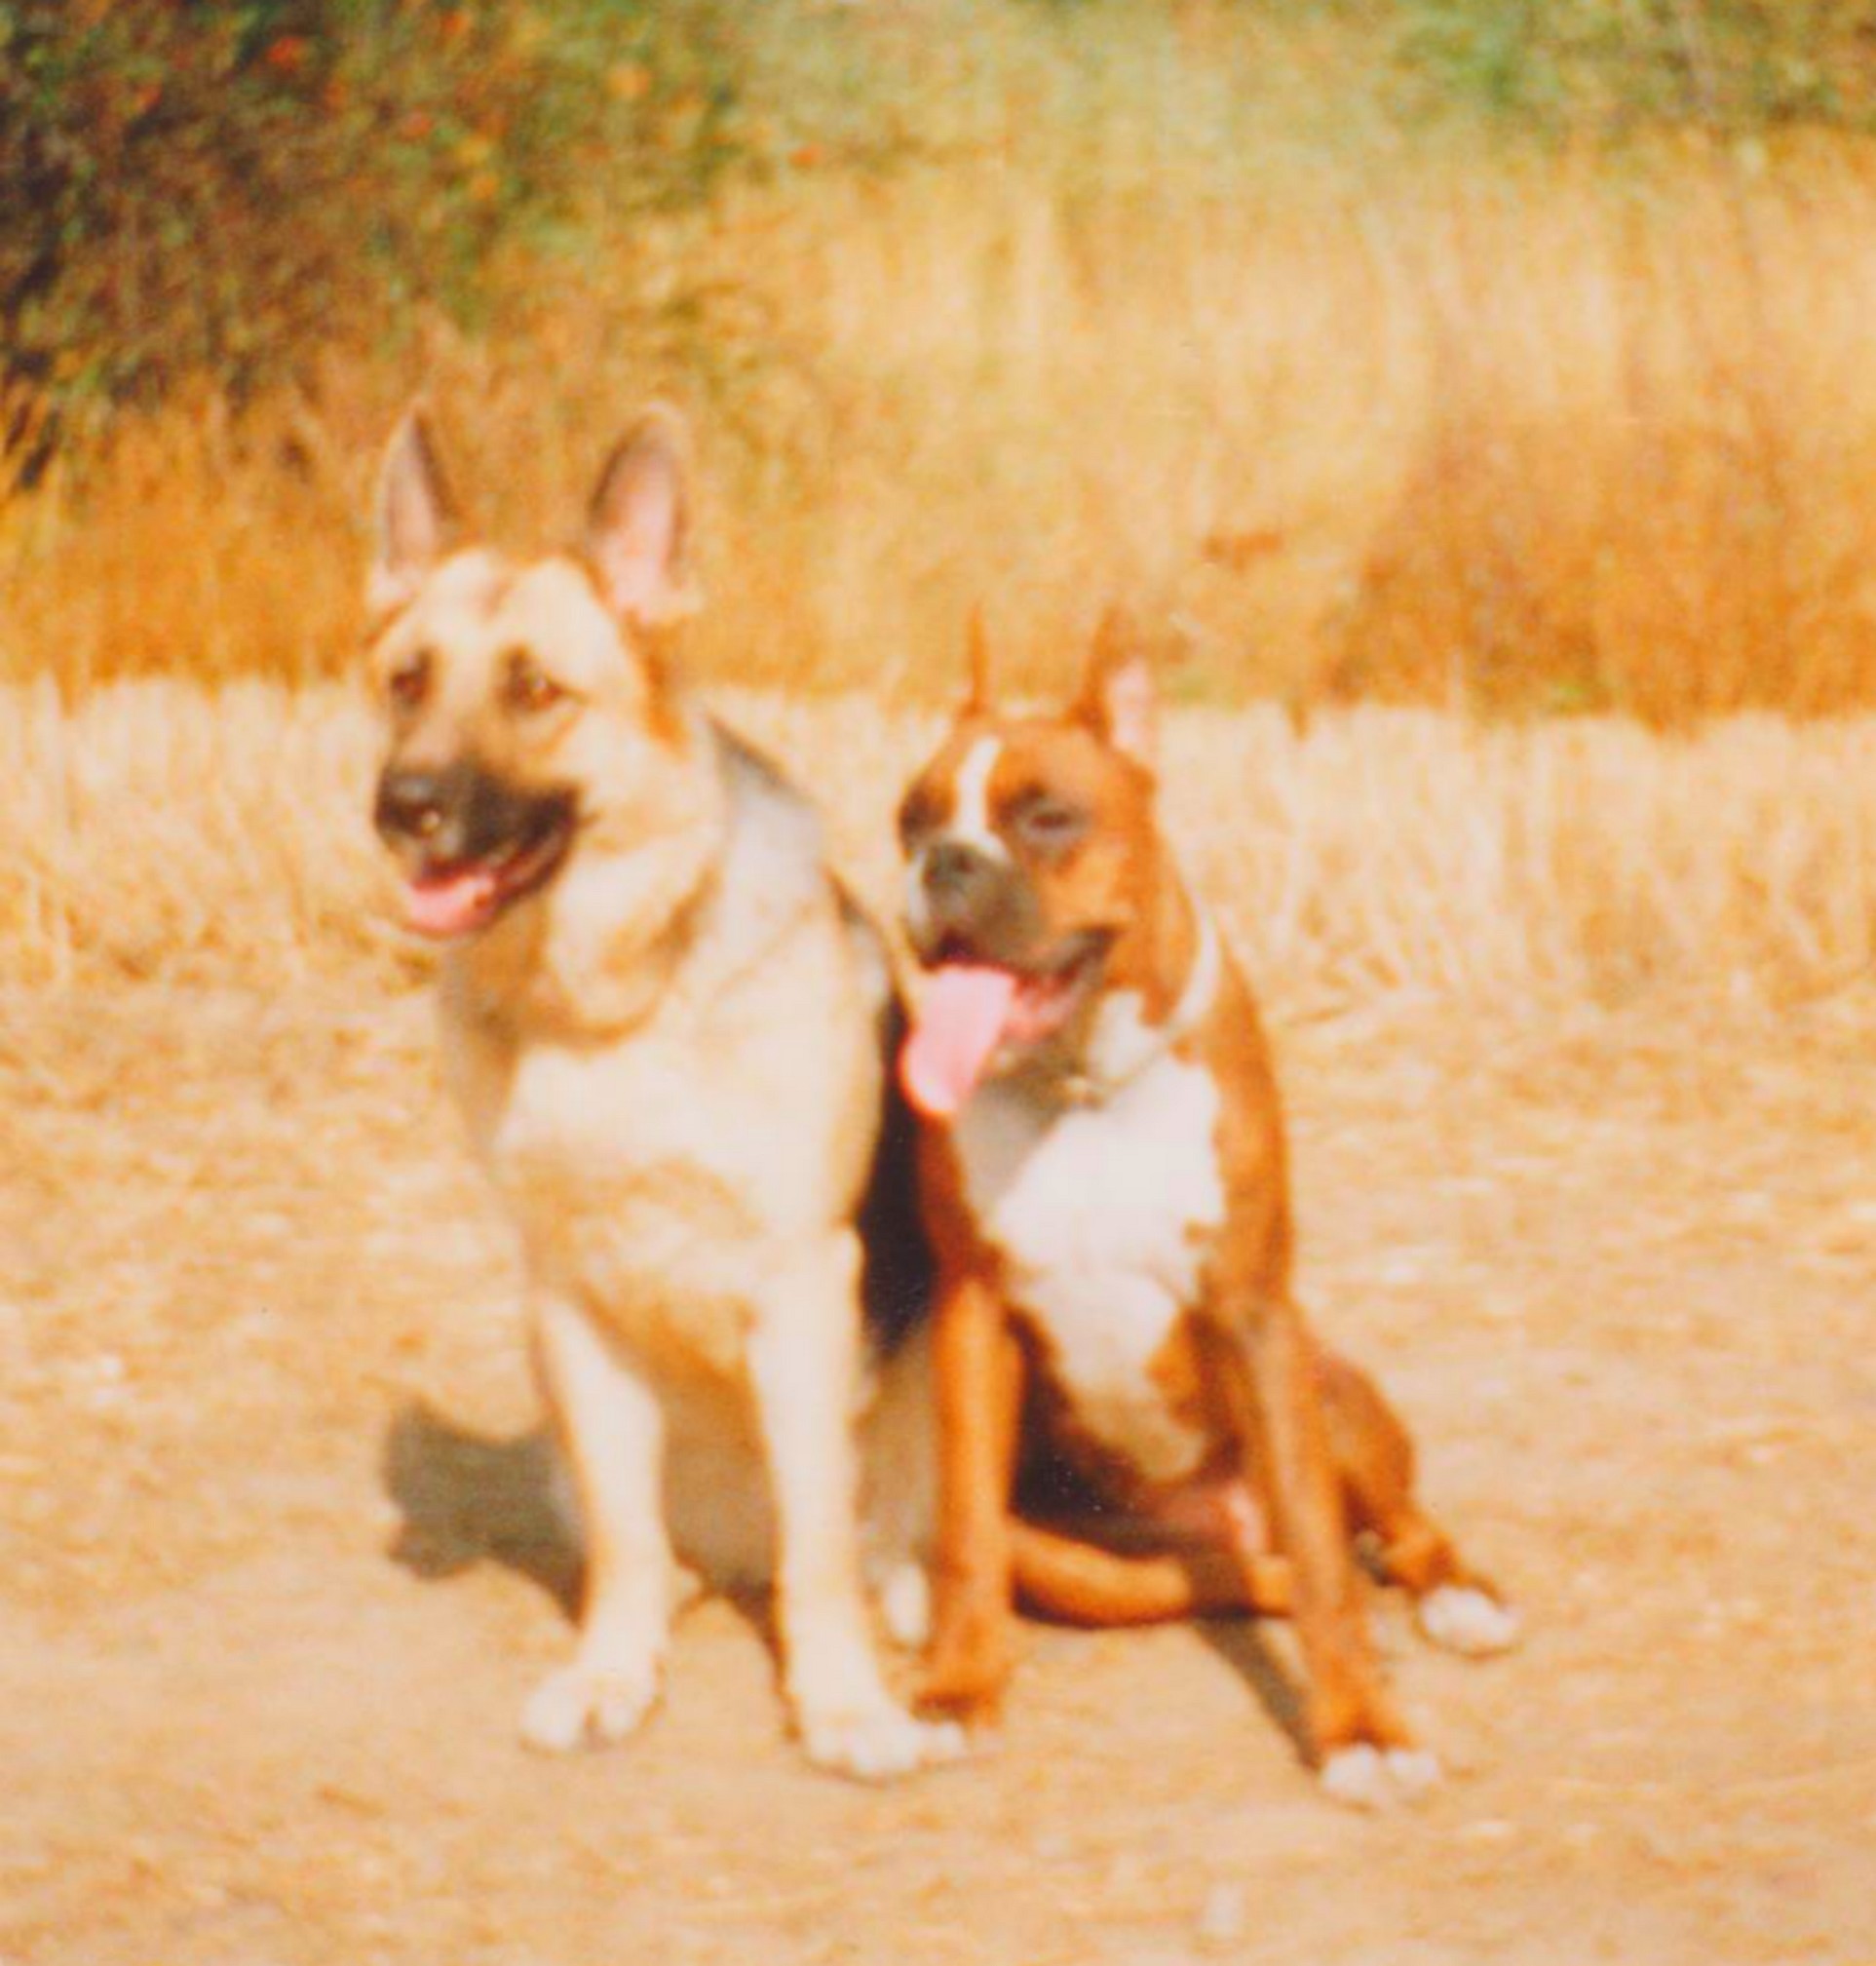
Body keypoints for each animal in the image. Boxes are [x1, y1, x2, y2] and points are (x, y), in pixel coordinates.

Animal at [363, 404, 961, 1780]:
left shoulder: (801, 1289)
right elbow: (628, 1537)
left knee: (882, 1535)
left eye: (535, 689)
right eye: (407, 680)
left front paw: (841, 1703)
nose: (400, 807)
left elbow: (819, 1546)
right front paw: (609, 1672)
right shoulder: (572, 1305)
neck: (615, 1005)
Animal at [895, 612, 1518, 1808]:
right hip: (1085, 1557)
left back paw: (1449, 1593)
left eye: (1045, 816)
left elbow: (1322, 1549)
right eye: (909, 818)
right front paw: (955, 1686)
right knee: (1222, 1574)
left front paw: (1358, 1727)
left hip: (1328, 1394)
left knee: (1377, 1531)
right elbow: (962, 1535)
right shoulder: (973, 1315)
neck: (1083, 1086)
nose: (942, 862)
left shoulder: (1253, 1312)